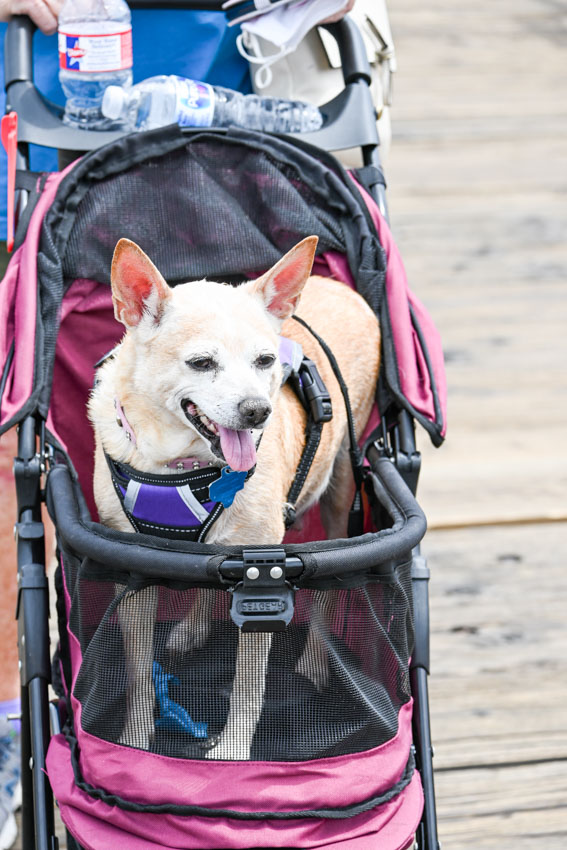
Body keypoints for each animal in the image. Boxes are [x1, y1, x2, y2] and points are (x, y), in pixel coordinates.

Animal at [90, 235, 382, 760]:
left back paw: (314, 661)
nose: (257, 410)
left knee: (328, 594)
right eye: (201, 363)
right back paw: (193, 627)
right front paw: (133, 745)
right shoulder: (133, 578)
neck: (181, 465)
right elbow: (140, 676)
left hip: (340, 496)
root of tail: (341, 288)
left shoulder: (262, 590)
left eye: (265, 362)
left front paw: (234, 753)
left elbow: (249, 685)